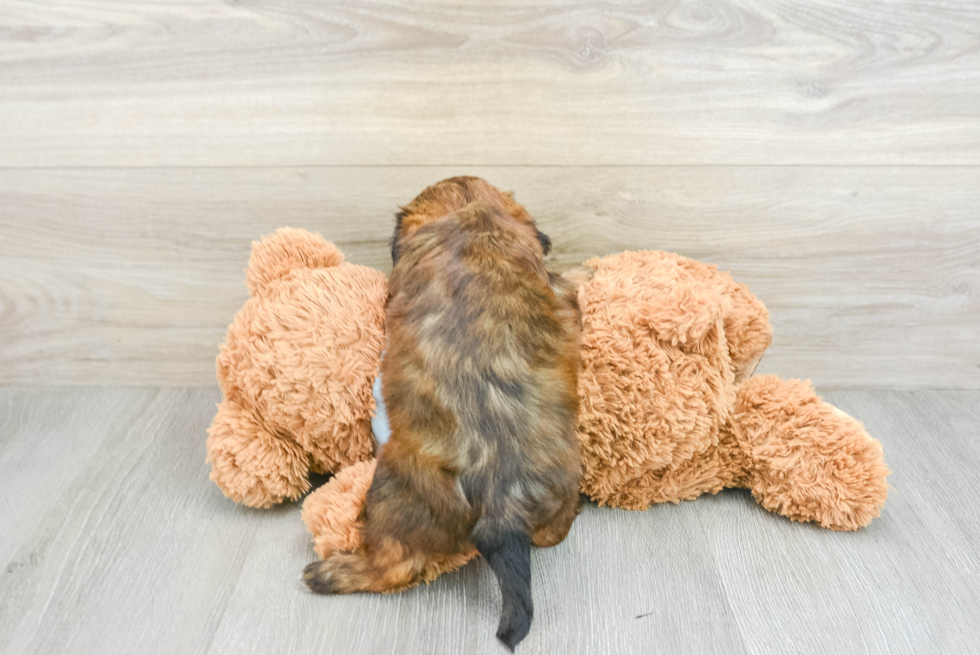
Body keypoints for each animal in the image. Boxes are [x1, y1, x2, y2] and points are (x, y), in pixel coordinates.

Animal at [306, 178, 580, 652]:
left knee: (394, 567)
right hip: (560, 485)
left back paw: (331, 573)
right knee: (552, 534)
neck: (472, 215)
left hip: (392, 493)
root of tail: (503, 502)